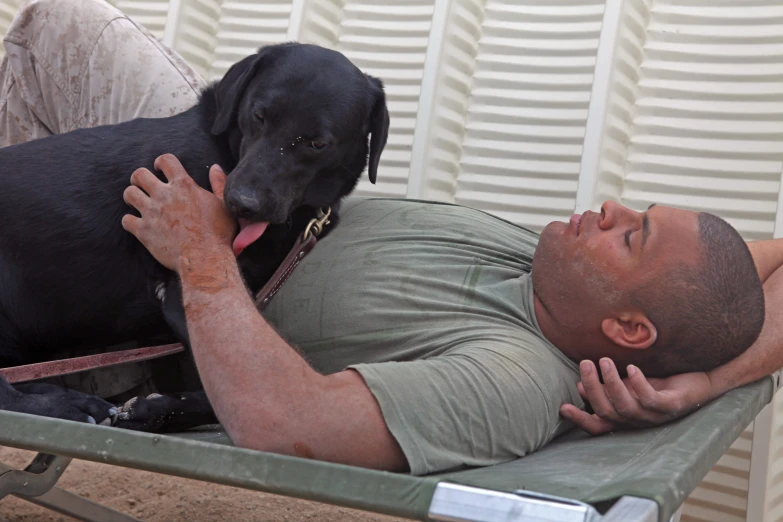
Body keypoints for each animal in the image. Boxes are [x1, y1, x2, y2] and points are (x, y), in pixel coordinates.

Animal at [0, 42, 390, 428]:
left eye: (317, 143)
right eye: (259, 115)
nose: (242, 204)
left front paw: (157, 410)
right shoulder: (185, 295)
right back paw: (68, 407)